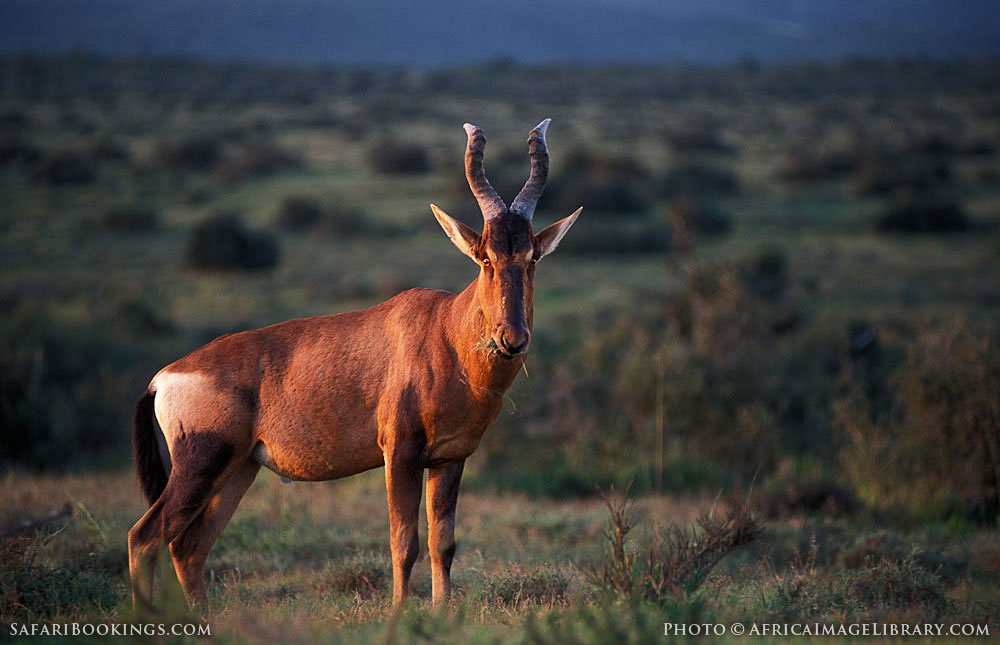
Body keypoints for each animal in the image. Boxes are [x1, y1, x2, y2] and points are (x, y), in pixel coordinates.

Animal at [127, 118, 580, 608]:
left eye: (532, 257)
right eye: (484, 257)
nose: (512, 339)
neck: (443, 330)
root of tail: (163, 378)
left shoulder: (449, 459)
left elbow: (443, 544)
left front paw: (442, 613)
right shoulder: (399, 452)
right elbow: (404, 542)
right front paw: (401, 615)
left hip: (237, 469)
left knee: (189, 547)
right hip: (200, 464)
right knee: (145, 537)